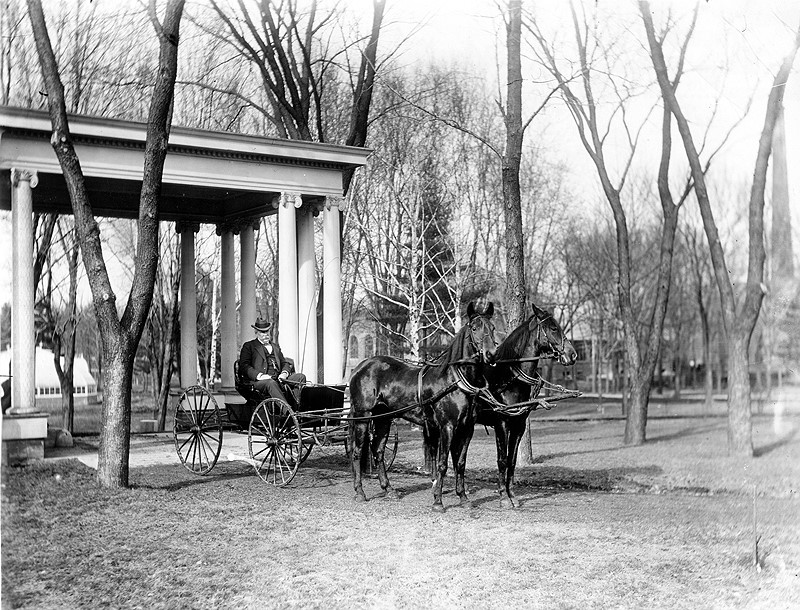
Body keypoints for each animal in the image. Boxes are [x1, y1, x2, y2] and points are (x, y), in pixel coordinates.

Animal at [348, 300, 496, 508]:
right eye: (474, 328)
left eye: (492, 327)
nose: (491, 354)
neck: (454, 380)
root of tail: (360, 367)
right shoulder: (446, 426)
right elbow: (442, 464)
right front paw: (438, 501)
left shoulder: (467, 428)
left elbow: (460, 463)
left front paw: (463, 497)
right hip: (363, 416)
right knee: (357, 451)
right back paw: (360, 492)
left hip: (384, 418)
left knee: (377, 450)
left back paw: (389, 489)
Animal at [476, 302, 576, 506]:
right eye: (553, 328)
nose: (573, 354)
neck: (509, 378)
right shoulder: (502, 424)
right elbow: (502, 460)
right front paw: (504, 497)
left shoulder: (518, 425)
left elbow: (512, 460)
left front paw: (512, 495)